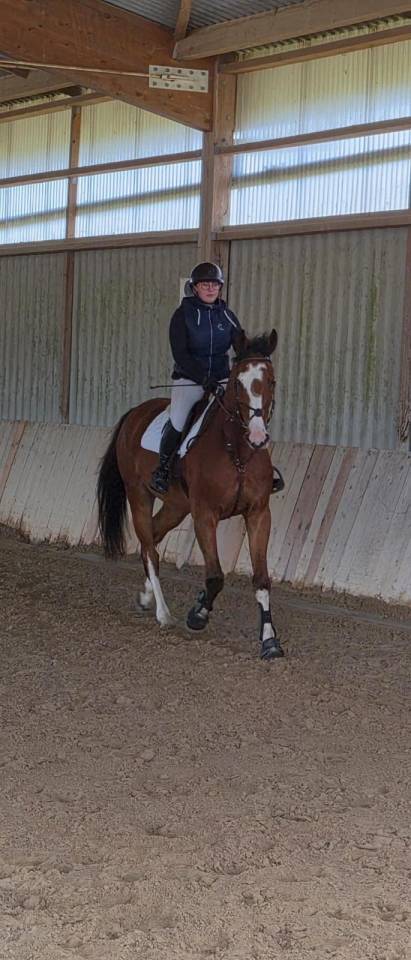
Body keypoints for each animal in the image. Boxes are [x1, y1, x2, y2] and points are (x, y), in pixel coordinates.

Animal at [97, 329, 284, 660]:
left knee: (152, 539)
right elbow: (215, 576)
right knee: (151, 550)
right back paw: (163, 614)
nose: (258, 436)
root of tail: (136, 412)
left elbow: (261, 580)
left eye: (271, 381)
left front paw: (269, 641)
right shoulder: (205, 516)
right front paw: (198, 614)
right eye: (237, 382)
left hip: (176, 506)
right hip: (139, 495)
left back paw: (146, 598)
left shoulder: (259, 514)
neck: (237, 451)